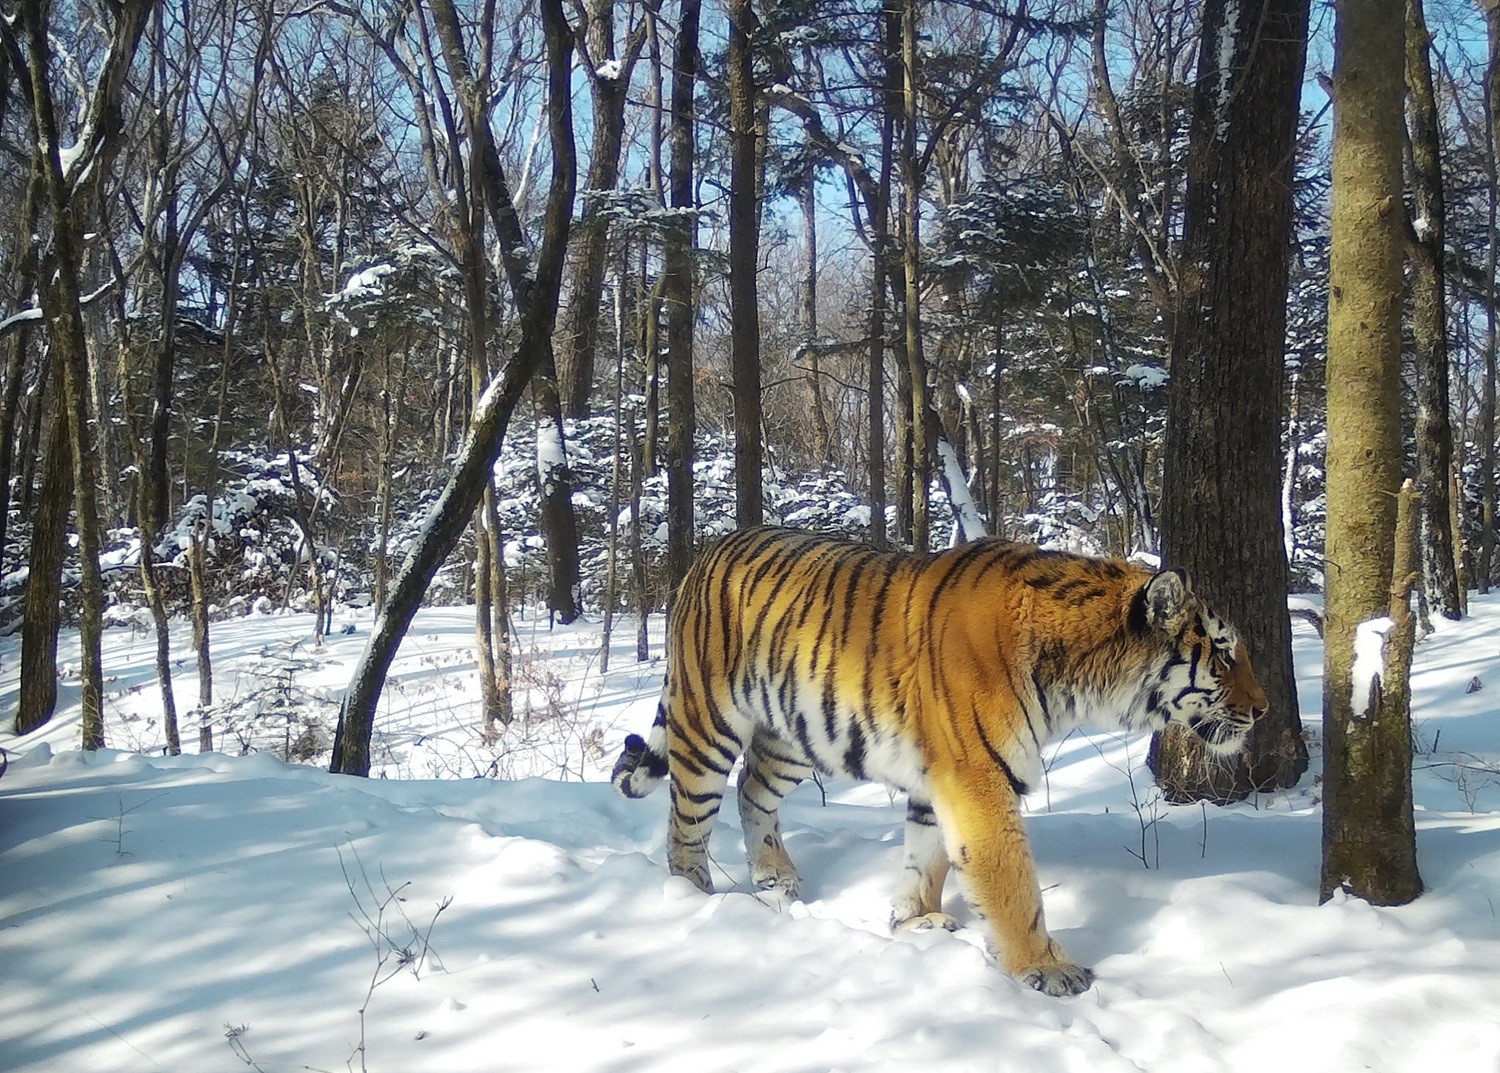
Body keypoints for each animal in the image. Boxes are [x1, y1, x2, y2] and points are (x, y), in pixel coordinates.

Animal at [611, 525, 1267, 996]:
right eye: (1224, 654)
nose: (1263, 710)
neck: (1077, 678)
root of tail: (707, 552)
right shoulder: (978, 776)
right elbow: (1011, 882)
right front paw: (1046, 968)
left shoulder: (939, 779)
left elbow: (926, 857)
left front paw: (914, 922)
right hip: (708, 725)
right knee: (687, 820)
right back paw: (691, 898)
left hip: (792, 737)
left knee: (752, 788)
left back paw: (777, 879)